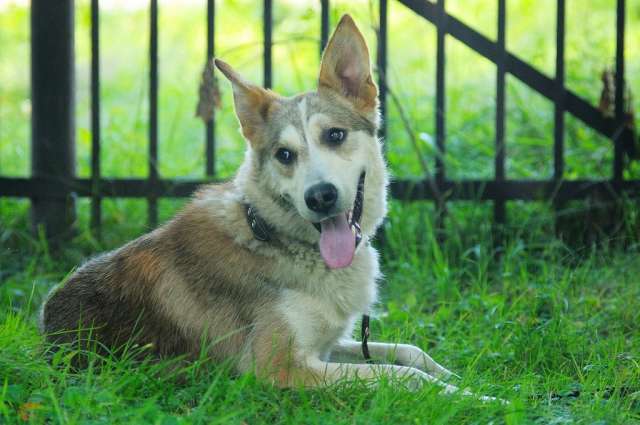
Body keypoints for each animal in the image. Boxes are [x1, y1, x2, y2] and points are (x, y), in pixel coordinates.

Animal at [38, 14, 470, 398]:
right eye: (284, 155)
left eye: (335, 135)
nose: (321, 196)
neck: (272, 235)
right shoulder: (281, 366)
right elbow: (403, 375)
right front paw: (470, 395)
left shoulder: (329, 344)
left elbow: (410, 352)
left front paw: (463, 377)